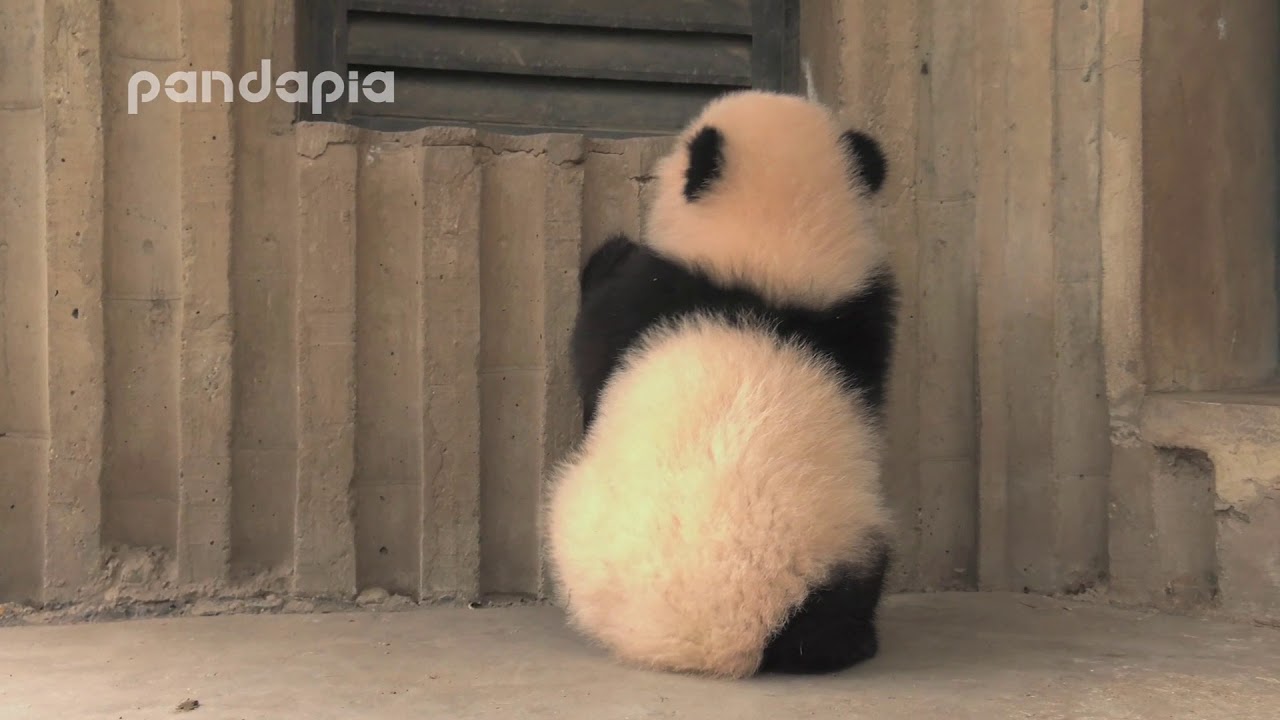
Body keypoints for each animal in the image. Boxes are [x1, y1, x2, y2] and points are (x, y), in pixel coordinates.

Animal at [544, 89, 898, 679]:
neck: (768, 275)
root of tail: (722, 637)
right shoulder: (860, 323)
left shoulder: (650, 297)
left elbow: (590, 353)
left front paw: (608, 251)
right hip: (848, 547)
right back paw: (851, 641)